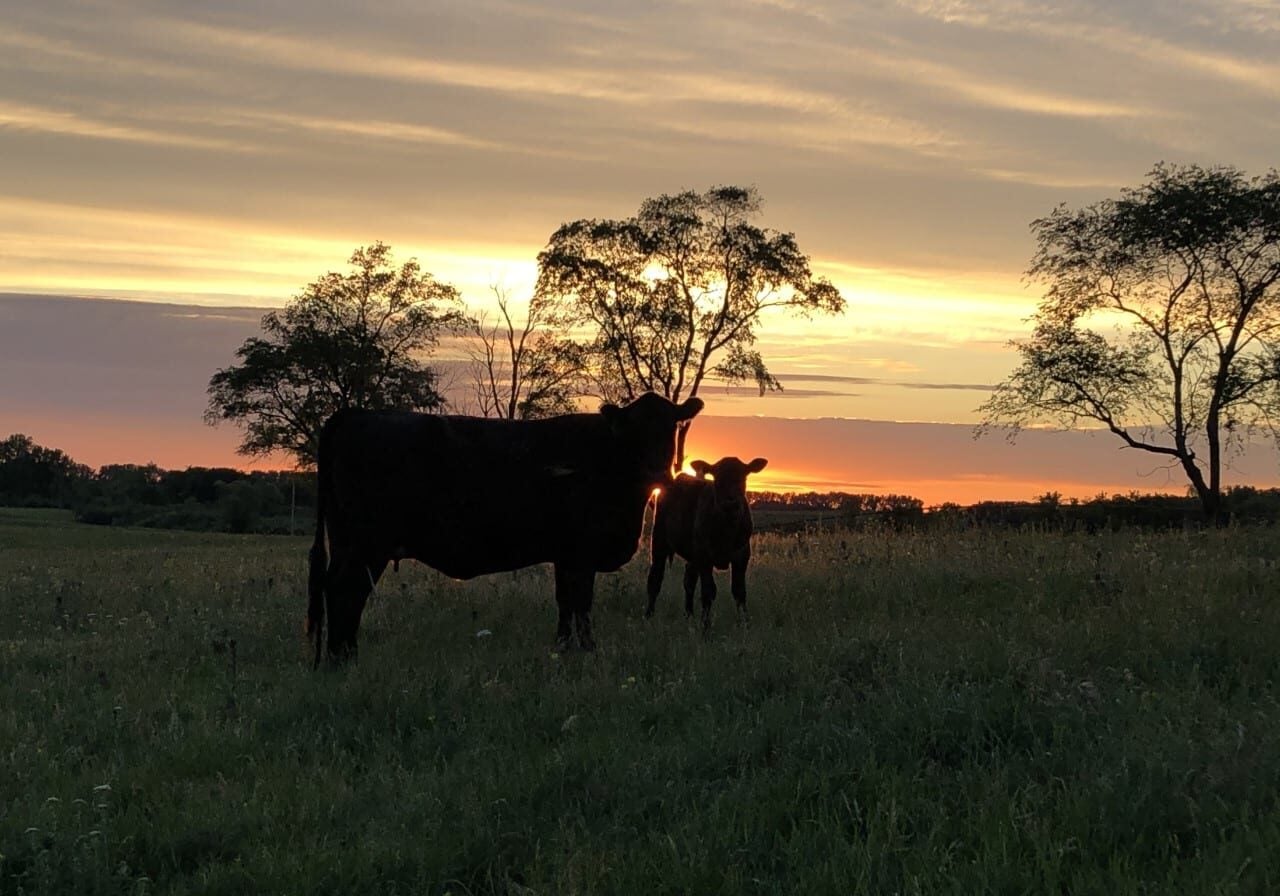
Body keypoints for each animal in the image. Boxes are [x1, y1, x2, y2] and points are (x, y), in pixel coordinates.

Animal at [306, 392, 704, 665]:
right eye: (635, 432)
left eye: (671, 426)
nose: (658, 472)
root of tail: (355, 414)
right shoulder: (582, 553)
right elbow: (582, 604)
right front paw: (588, 650)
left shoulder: (564, 555)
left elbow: (565, 603)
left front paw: (563, 650)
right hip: (366, 544)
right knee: (346, 590)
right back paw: (344, 658)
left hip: (346, 541)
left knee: (338, 589)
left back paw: (340, 655)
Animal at [645, 456, 768, 632]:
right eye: (717, 478)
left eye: (743, 476)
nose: (730, 503)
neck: (726, 529)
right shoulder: (704, 556)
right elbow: (708, 592)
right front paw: (706, 627)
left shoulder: (742, 555)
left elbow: (739, 591)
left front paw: (745, 624)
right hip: (659, 540)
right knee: (655, 579)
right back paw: (649, 616)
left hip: (692, 554)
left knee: (689, 580)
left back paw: (689, 616)